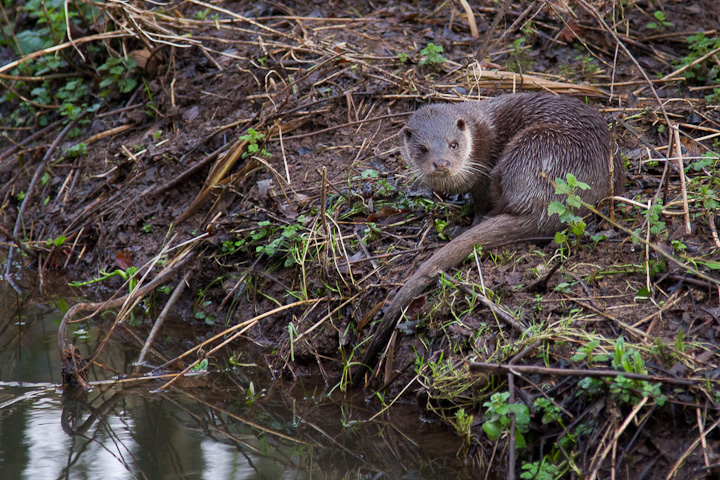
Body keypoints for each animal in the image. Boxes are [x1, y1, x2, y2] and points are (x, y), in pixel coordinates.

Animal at [353, 93, 624, 385]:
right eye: (423, 149)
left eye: (453, 144)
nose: (442, 163)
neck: (479, 139)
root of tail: (554, 204)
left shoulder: (482, 173)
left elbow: (481, 202)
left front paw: (472, 219)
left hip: (534, 146)